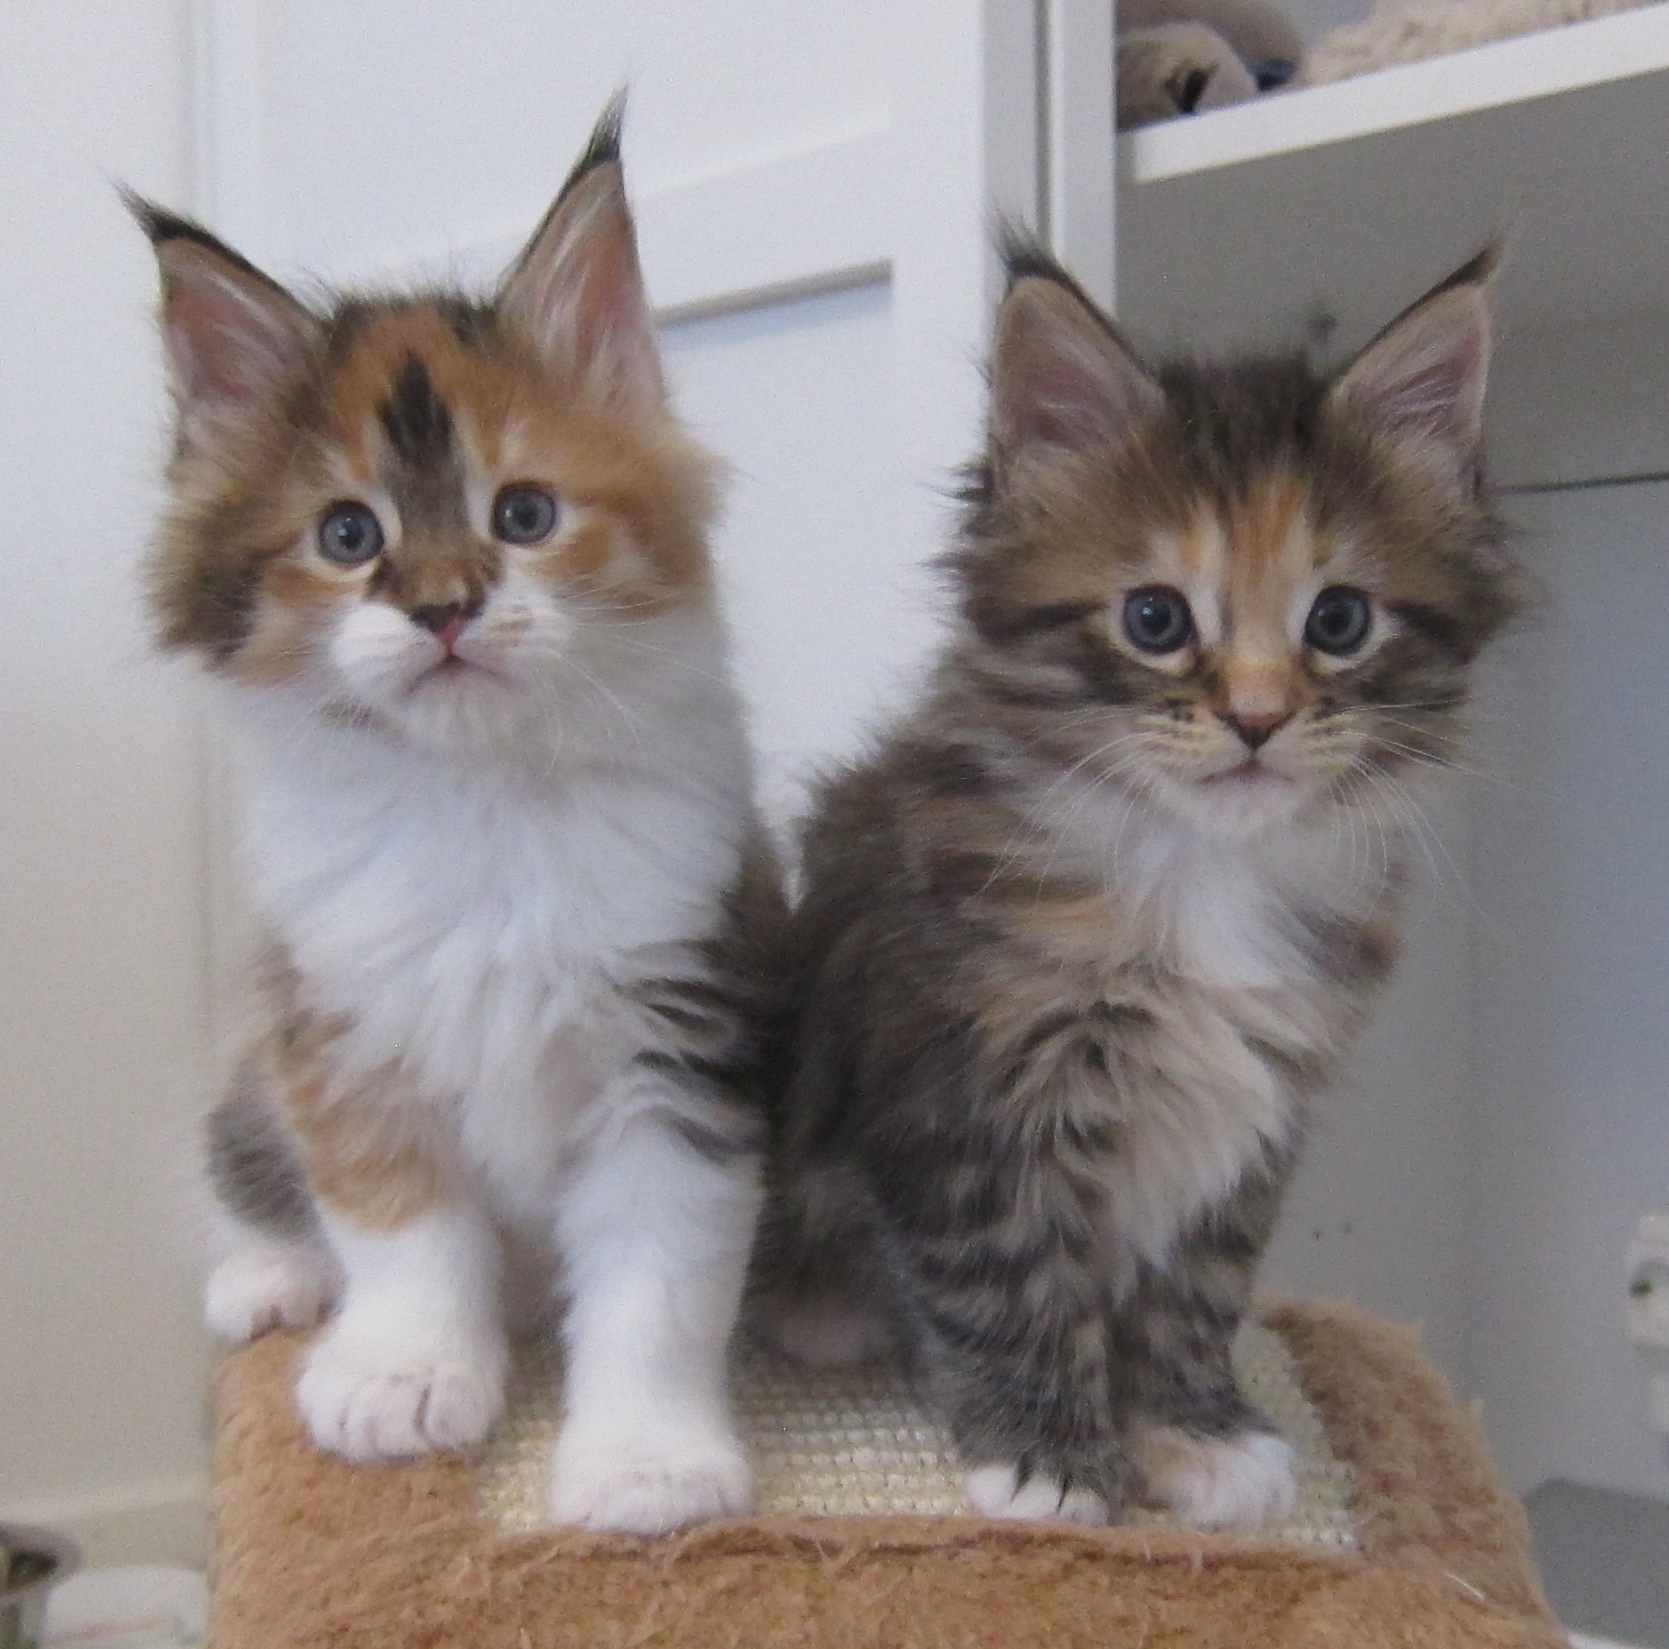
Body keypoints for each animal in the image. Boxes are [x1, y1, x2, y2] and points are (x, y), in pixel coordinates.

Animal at [132, 105, 781, 1536]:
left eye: (523, 514)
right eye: (347, 534)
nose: (439, 607)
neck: (481, 800)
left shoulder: (677, 1035)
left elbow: (659, 1281)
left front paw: (644, 1462)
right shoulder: (343, 1032)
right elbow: (399, 1226)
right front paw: (404, 1375)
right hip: (255, 1074)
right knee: (245, 1174)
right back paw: (264, 1280)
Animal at [760, 241, 1523, 1529]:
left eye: (1339, 619)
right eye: (1155, 617)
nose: (1257, 717)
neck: (1201, 867)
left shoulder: (1251, 1102)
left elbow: (1198, 1282)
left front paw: (1190, 1428)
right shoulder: (966, 1084)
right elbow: (1008, 1273)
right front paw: (1049, 1455)